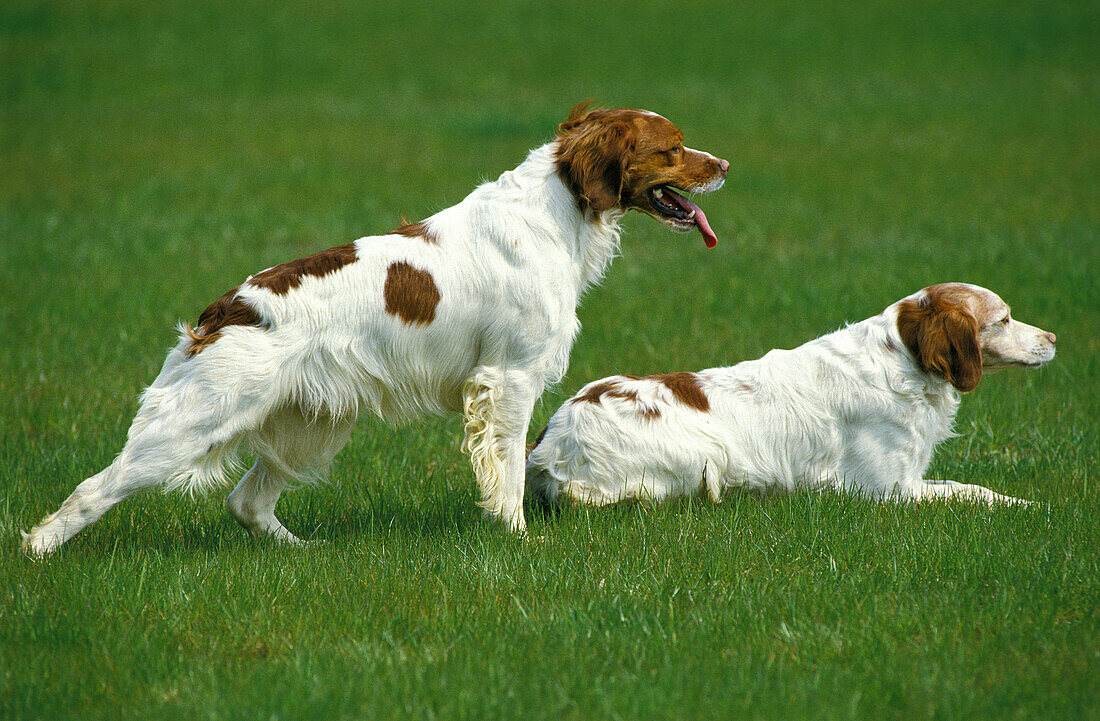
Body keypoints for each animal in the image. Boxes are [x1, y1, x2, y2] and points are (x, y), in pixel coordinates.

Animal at [21, 101, 726, 554]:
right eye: (672, 149)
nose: (723, 165)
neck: (556, 211)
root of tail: (224, 311)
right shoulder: (509, 380)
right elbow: (509, 475)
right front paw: (517, 538)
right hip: (193, 423)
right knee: (96, 488)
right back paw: (37, 551)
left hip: (310, 425)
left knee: (246, 501)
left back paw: (301, 554)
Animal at [523, 283, 1056, 508]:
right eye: (1004, 319)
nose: (1052, 337)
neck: (903, 360)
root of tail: (549, 443)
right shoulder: (886, 490)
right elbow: (971, 494)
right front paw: (1027, 507)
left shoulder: (909, 479)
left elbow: (975, 488)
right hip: (705, 454)